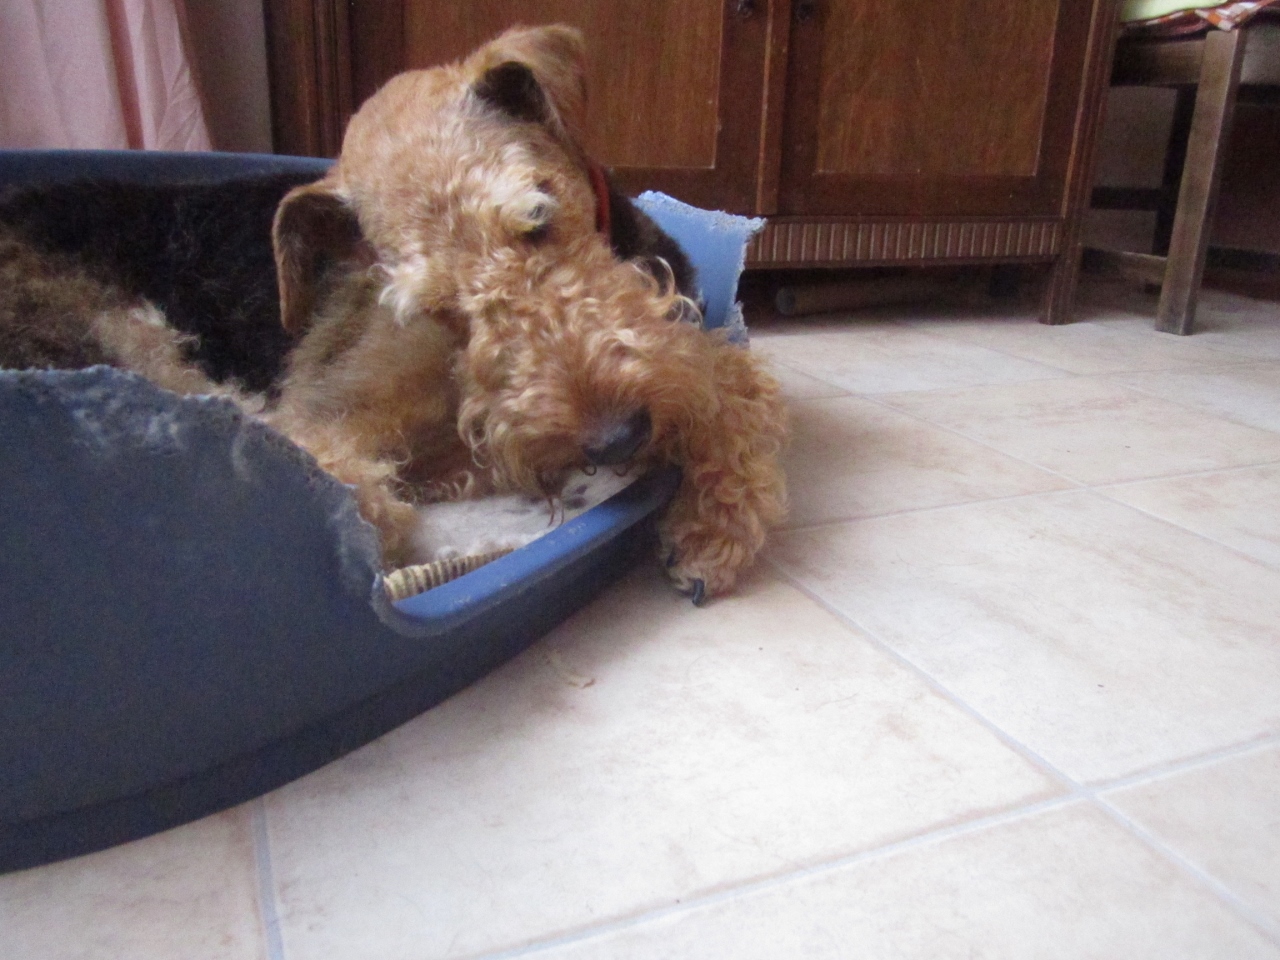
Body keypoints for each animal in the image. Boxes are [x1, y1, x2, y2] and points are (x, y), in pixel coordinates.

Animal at [0, 25, 787, 603]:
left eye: (538, 220)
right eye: (438, 307)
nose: (618, 437)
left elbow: (731, 375)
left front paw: (712, 528)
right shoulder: (333, 416)